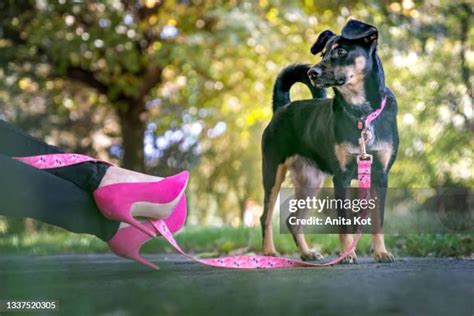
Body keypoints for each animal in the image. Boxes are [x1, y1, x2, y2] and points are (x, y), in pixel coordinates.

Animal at [262, 19, 398, 262]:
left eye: (340, 51)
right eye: (323, 53)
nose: (311, 72)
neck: (362, 113)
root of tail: (282, 107)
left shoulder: (380, 176)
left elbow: (378, 220)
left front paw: (381, 252)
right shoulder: (341, 178)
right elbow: (344, 222)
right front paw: (347, 255)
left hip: (310, 180)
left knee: (293, 221)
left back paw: (307, 253)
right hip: (273, 172)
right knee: (266, 216)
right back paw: (269, 251)